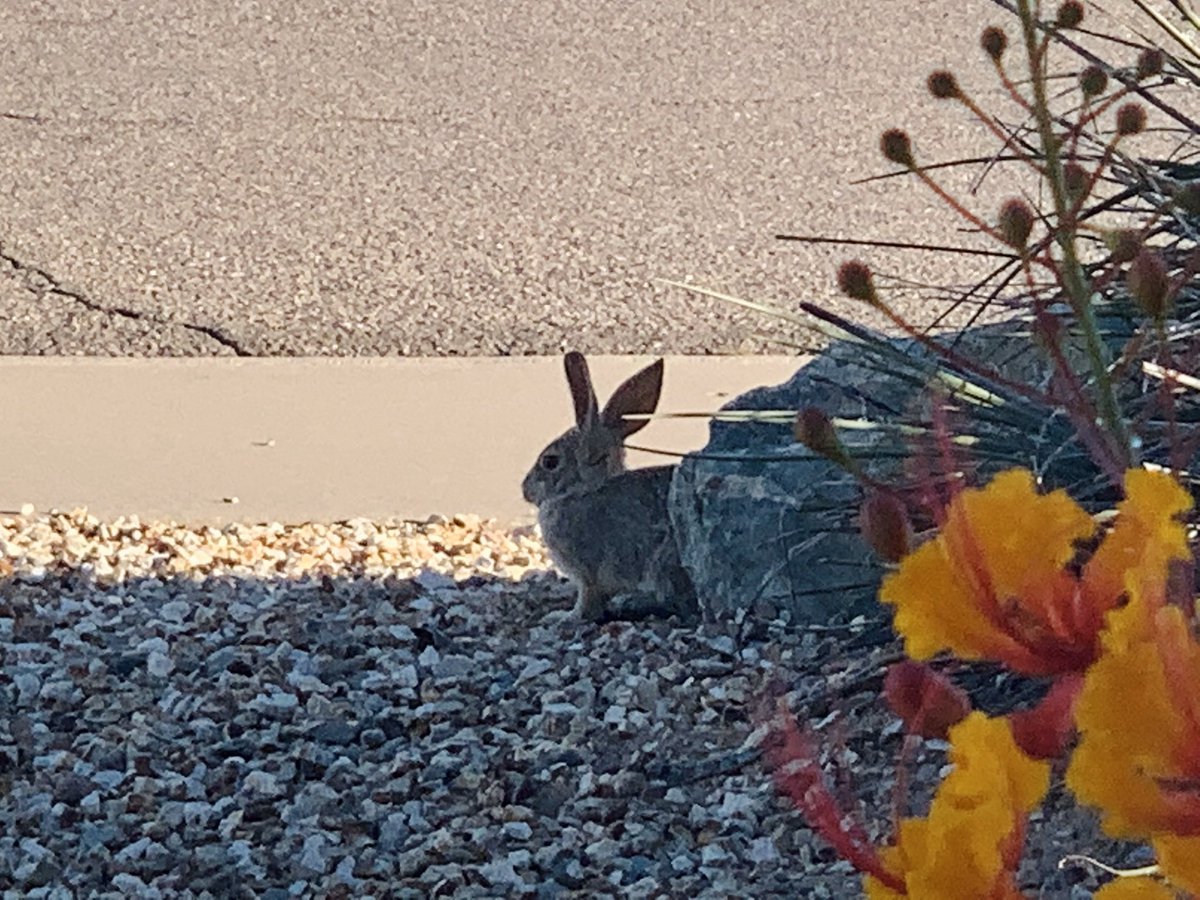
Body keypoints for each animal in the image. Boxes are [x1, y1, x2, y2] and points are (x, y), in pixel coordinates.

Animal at [520, 352, 700, 628]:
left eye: (550, 462)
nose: (525, 490)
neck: (587, 489)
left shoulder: (588, 574)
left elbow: (586, 603)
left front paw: (563, 617)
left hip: (665, 565)